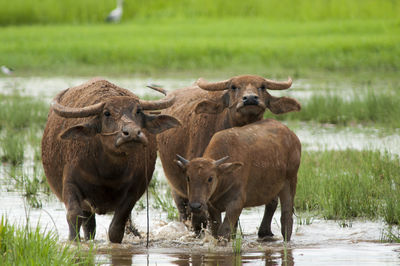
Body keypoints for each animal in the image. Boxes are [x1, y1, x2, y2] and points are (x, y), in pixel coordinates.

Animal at [41, 77, 180, 243]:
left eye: (138, 111)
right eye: (107, 113)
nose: (132, 133)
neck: (107, 172)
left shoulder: (133, 192)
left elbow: (116, 227)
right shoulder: (70, 184)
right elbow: (74, 216)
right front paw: (74, 241)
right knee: (89, 226)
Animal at [156, 74, 300, 236]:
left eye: (262, 87)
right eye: (233, 87)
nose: (250, 98)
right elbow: (203, 220)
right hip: (176, 189)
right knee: (184, 212)